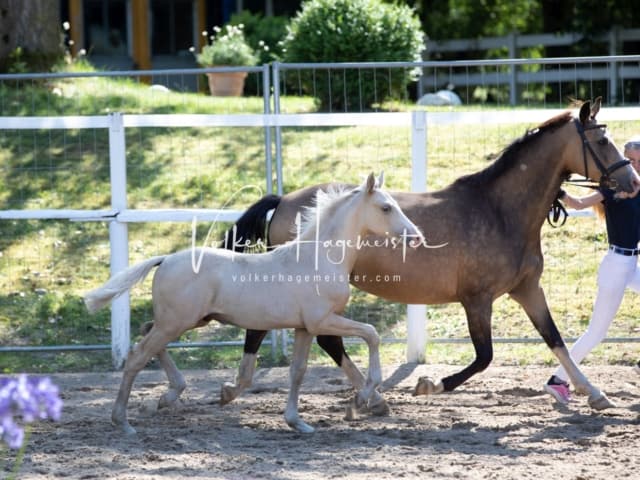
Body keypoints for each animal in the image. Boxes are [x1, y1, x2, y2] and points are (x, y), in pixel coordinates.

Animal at [85, 173, 424, 436]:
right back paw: (123, 421)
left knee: (146, 333)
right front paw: (363, 397)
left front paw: (297, 422)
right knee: (137, 356)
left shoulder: (304, 327)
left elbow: (298, 371)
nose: (416, 237)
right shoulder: (323, 320)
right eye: (386, 207)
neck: (318, 257)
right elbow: (371, 334)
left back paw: (168, 396)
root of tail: (165, 259)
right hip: (176, 322)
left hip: (186, 320)